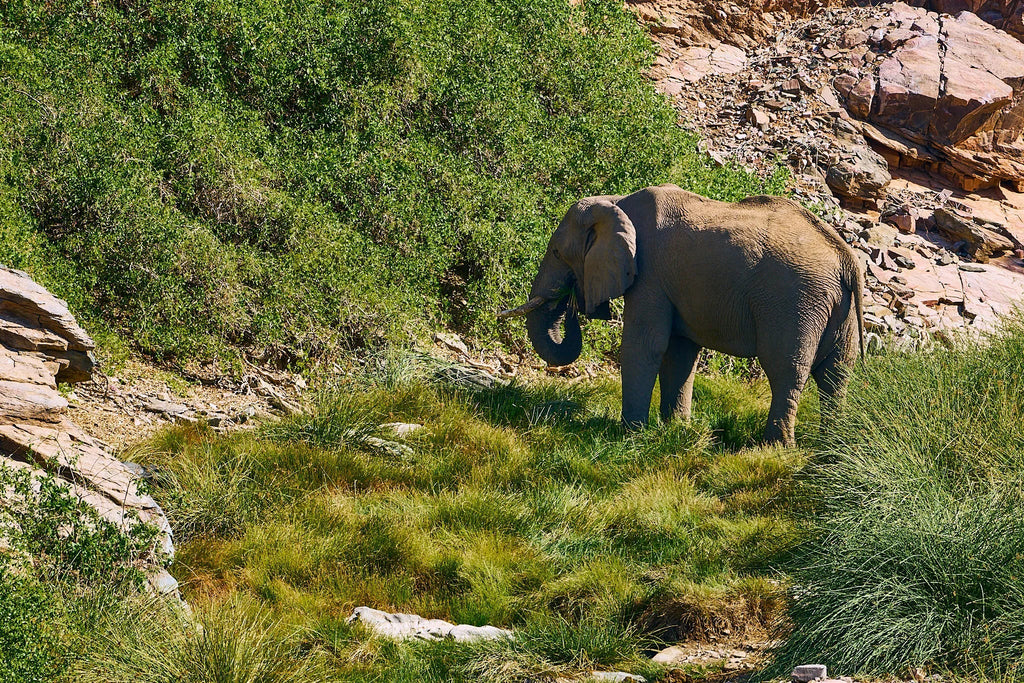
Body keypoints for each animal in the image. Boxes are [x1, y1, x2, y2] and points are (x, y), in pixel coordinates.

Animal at [499, 184, 864, 446]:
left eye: (557, 252)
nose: (574, 302)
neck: (616, 202)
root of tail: (845, 257)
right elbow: (679, 353)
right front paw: (675, 431)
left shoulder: (650, 275)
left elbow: (645, 345)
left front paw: (629, 434)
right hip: (836, 311)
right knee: (836, 375)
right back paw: (829, 448)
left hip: (794, 302)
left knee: (786, 370)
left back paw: (775, 448)